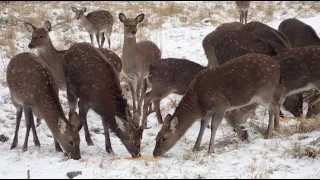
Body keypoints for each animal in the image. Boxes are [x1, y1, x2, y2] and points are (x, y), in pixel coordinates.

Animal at [152, 52, 280, 157]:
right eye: (156, 137)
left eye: (164, 139)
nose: (155, 153)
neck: (198, 103)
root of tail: (277, 67)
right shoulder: (207, 112)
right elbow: (203, 126)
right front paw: (195, 148)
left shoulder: (220, 106)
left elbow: (214, 126)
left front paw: (210, 151)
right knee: (277, 105)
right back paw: (277, 128)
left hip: (264, 92)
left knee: (273, 107)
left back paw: (269, 134)